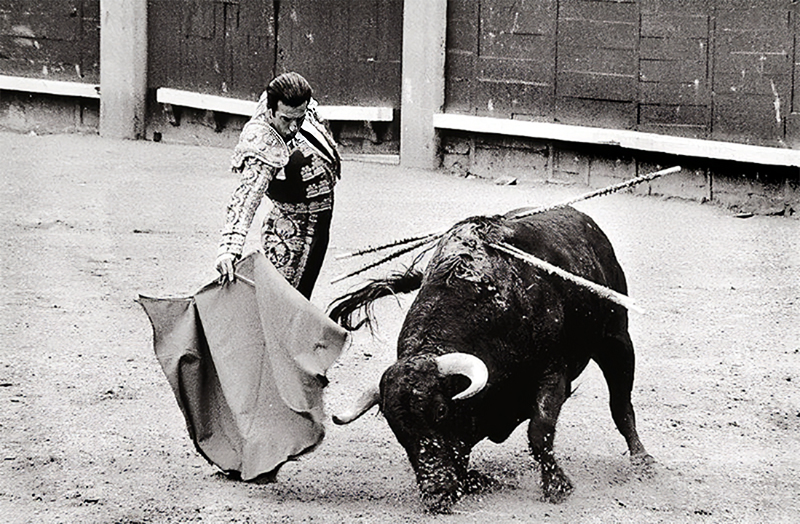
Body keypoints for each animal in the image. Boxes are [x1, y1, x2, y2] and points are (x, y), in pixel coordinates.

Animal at [328, 207, 652, 512]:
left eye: (441, 410)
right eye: (394, 425)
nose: (435, 495)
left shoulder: (552, 371)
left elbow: (540, 431)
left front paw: (557, 486)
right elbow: (461, 454)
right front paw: (478, 480)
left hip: (616, 340)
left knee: (620, 403)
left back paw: (642, 459)